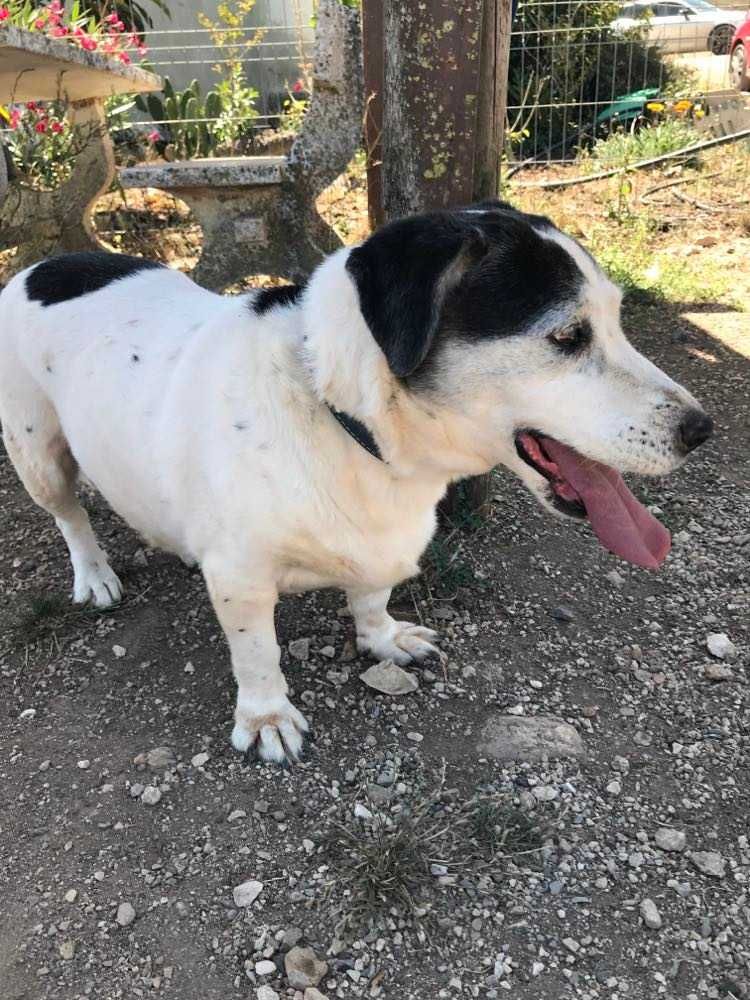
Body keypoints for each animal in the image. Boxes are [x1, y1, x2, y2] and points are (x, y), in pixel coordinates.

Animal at [0, 207, 712, 760]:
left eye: (619, 319)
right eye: (567, 335)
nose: (702, 430)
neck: (338, 413)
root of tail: (40, 265)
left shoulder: (380, 546)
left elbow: (372, 596)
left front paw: (384, 637)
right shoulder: (241, 579)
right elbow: (257, 653)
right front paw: (266, 716)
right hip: (38, 454)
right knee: (70, 515)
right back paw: (94, 574)